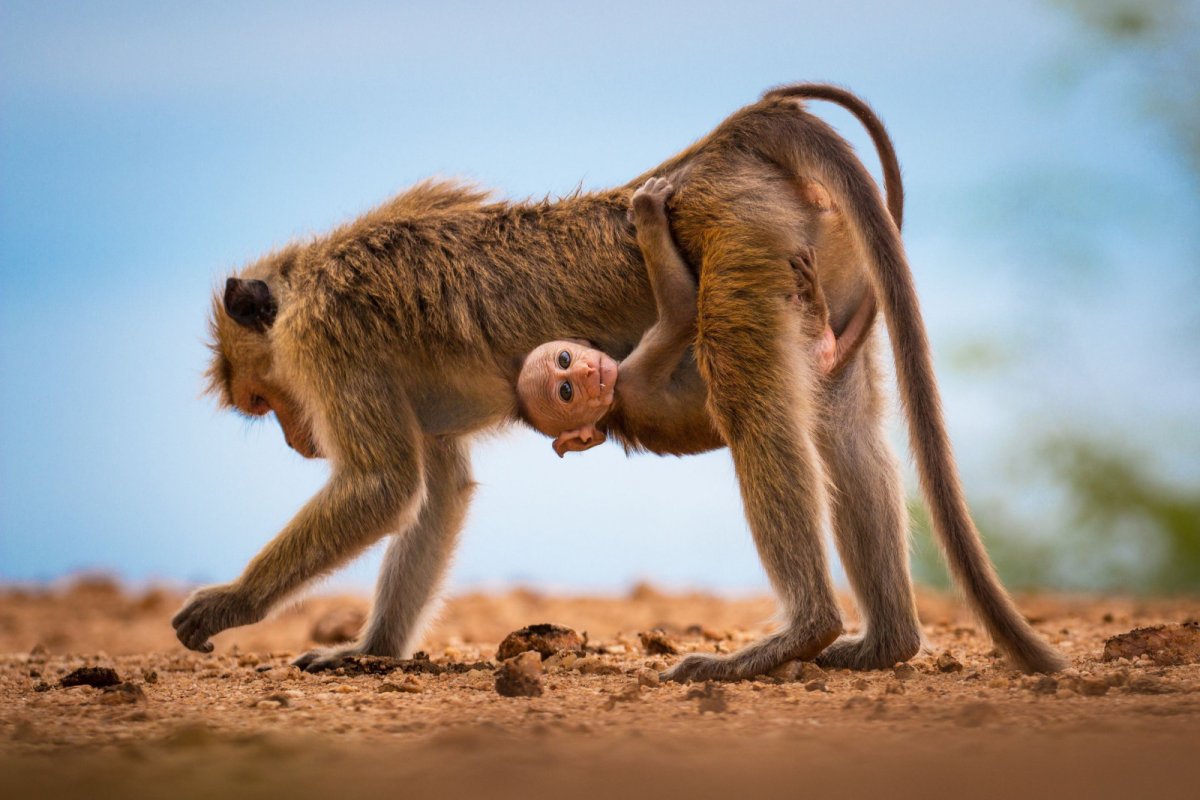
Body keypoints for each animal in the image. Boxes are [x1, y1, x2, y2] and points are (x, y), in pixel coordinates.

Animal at [517, 175, 839, 458]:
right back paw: (813, 303)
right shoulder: (631, 380)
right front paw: (647, 212)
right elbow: (682, 312)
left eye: (564, 358)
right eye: (566, 391)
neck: (611, 412)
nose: (586, 371)